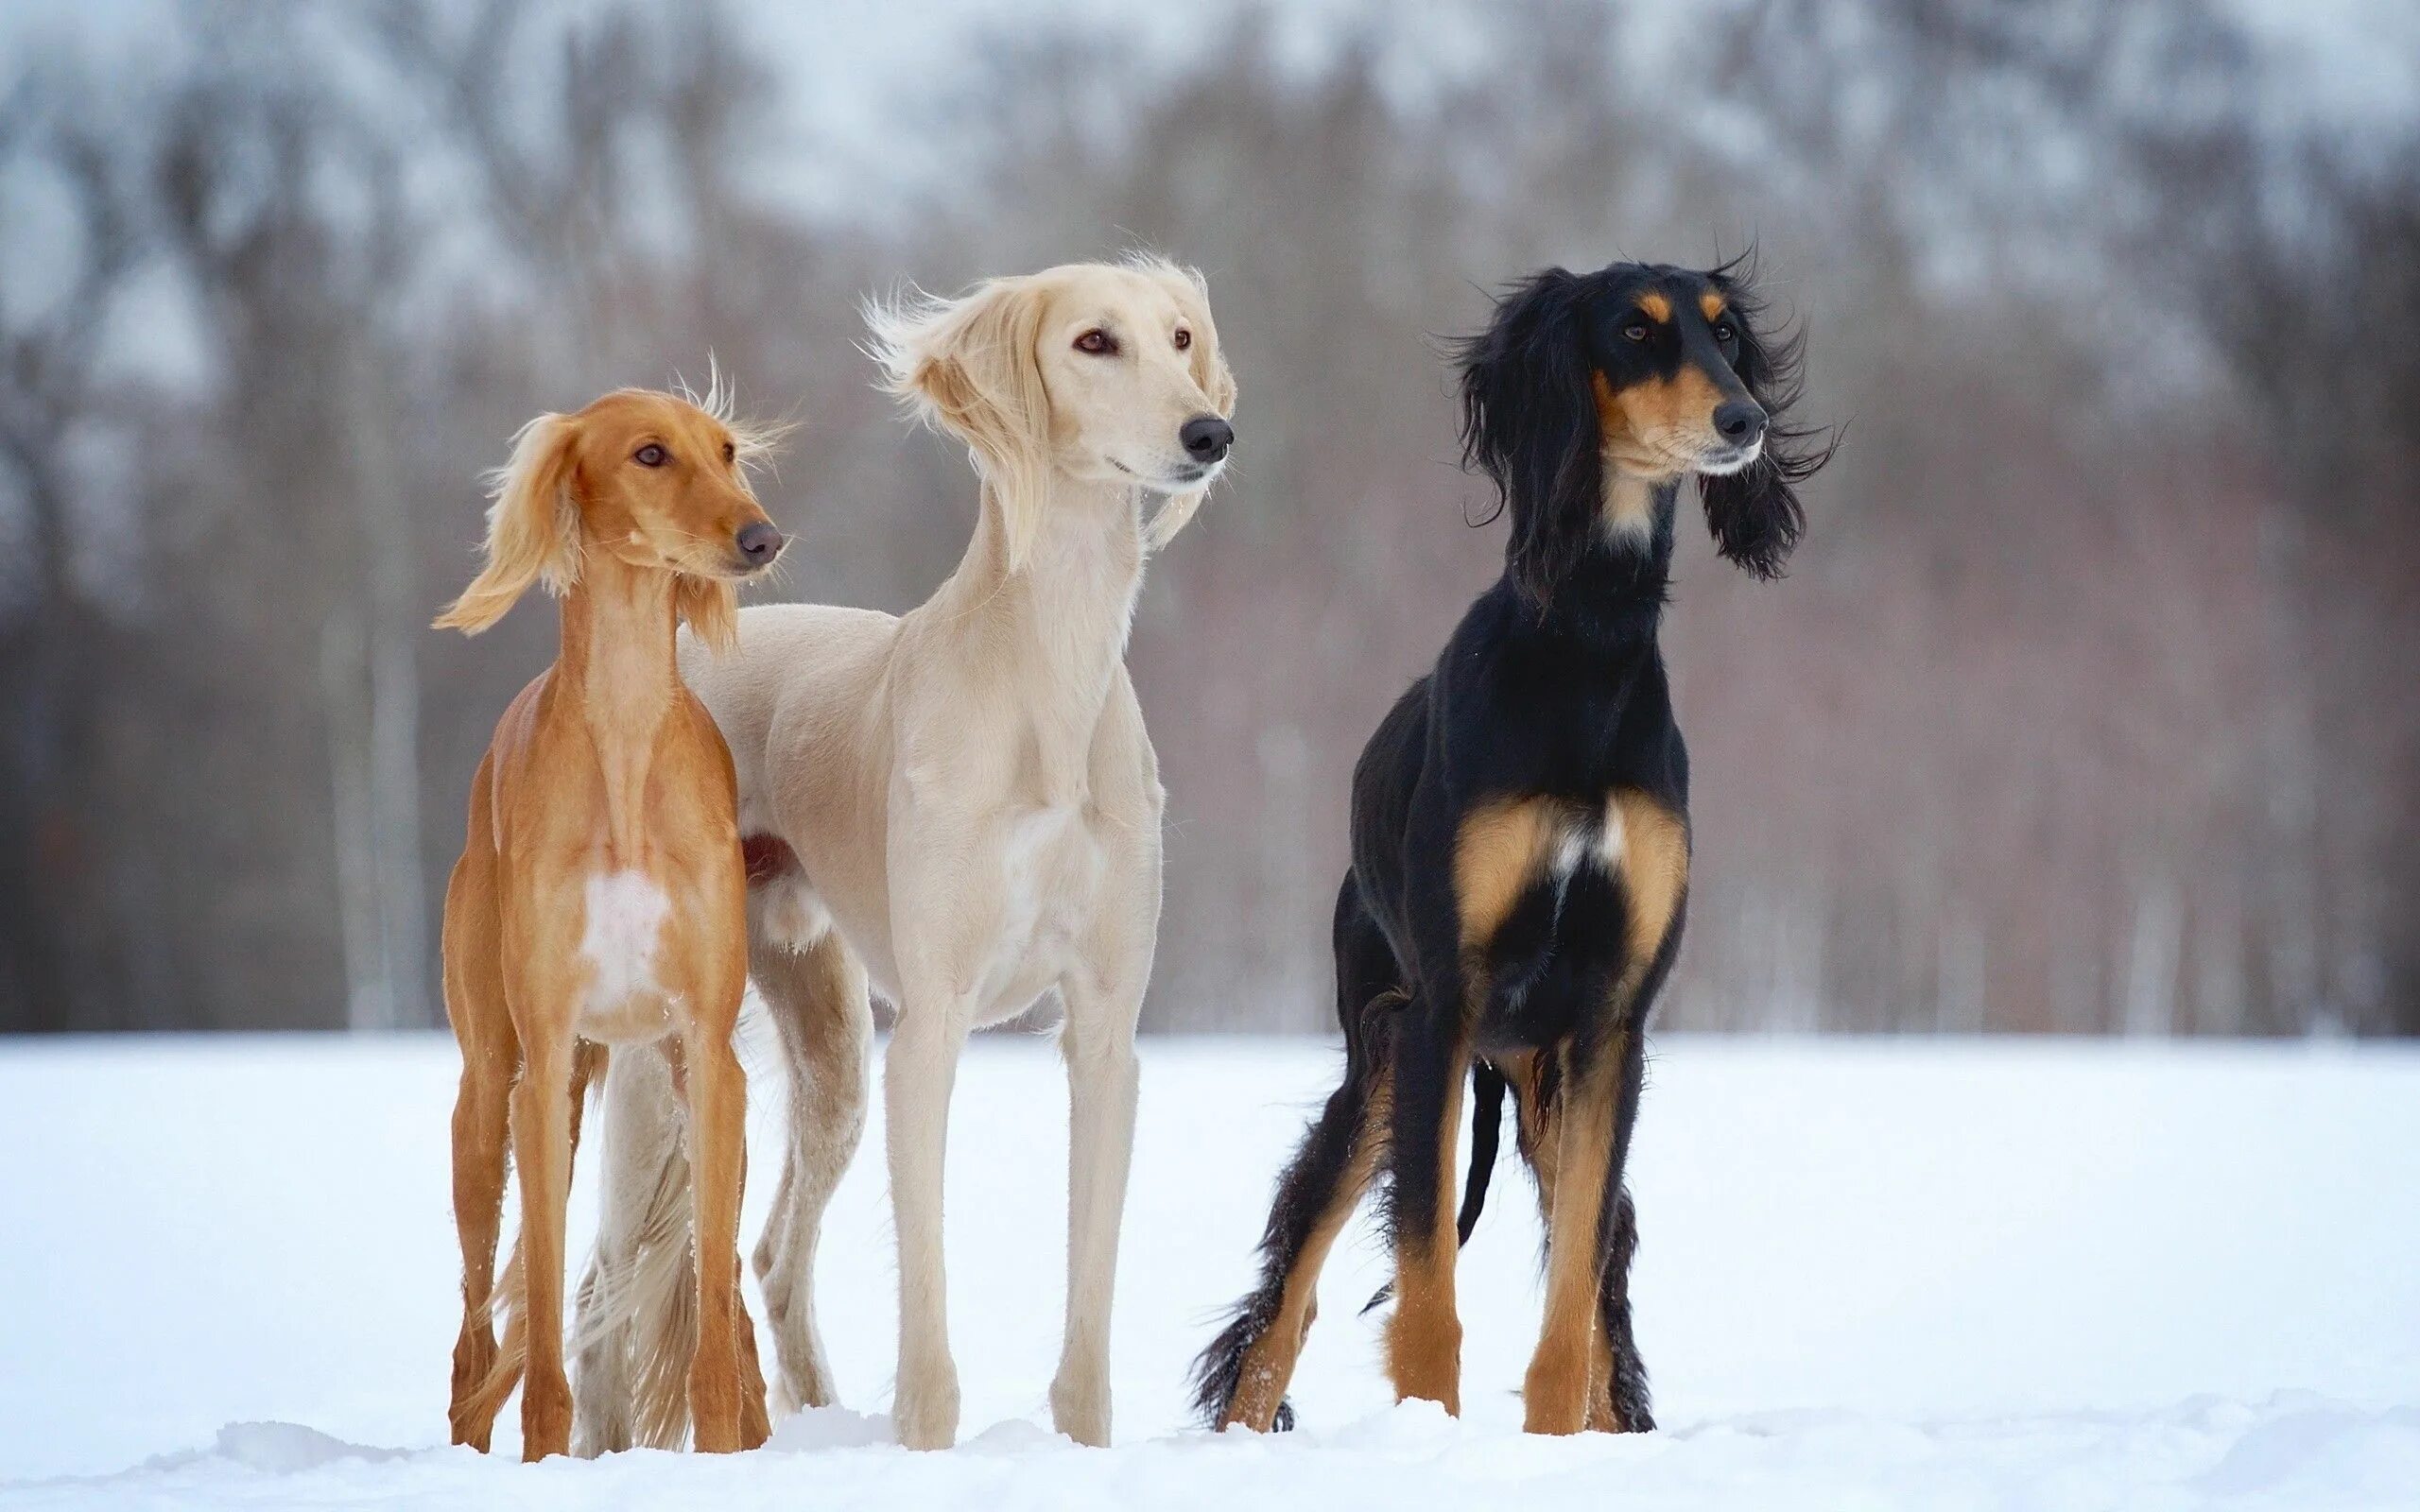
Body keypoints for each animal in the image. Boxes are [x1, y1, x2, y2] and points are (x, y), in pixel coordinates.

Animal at [425, 382, 784, 1461]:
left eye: (725, 450)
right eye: (650, 453)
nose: (762, 537)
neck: (625, 739)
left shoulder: (709, 1056)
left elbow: (714, 1320)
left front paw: (723, 1445)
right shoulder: (543, 1068)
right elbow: (539, 1325)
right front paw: (546, 1450)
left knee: (732, 1310)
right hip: (487, 1099)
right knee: (473, 1328)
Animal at [576, 258, 1238, 1452]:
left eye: (1177, 337)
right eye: (1093, 341)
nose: (1208, 432)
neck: (1047, 676)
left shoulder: (1106, 1029)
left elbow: (1088, 1294)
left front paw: (1081, 1445)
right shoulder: (930, 1025)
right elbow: (924, 1288)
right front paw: (924, 1442)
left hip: (828, 1045)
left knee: (772, 1255)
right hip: (666, 1055)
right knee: (606, 1285)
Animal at [1190, 262, 1829, 1441]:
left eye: (1726, 338)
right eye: (1635, 331)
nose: (1745, 421)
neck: (1586, 643)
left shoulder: (1611, 1025)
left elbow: (1576, 1296)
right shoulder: (1441, 1008)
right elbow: (1424, 1285)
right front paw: (1427, 1430)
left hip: (1537, 1080)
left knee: (1606, 1288)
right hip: (1378, 1063)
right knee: (1284, 1306)